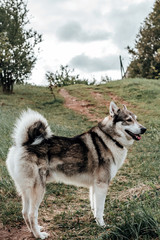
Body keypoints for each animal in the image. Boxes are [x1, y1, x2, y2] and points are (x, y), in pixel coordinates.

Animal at [6, 102, 146, 239]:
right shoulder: (102, 184)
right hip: (39, 189)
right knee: (31, 214)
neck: (110, 138)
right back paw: (39, 235)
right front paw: (102, 226)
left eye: (136, 119)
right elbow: (100, 208)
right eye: (128, 120)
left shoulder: (94, 186)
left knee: (24, 212)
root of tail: (24, 143)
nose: (144, 129)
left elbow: (95, 207)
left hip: (26, 190)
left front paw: (96, 221)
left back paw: (33, 231)